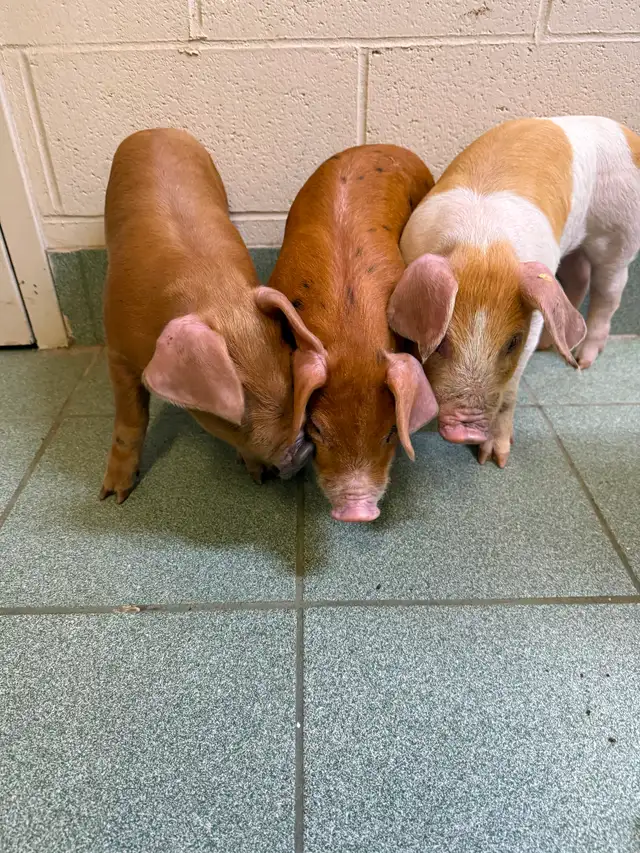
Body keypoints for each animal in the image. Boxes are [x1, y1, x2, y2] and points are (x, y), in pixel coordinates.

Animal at [101, 128, 321, 502]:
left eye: (290, 378)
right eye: (234, 415)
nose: (303, 451)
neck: (210, 290)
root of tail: (155, 129)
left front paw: (257, 476)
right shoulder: (116, 351)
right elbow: (129, 421)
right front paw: (113, 497)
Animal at [389, 116, 640, 468]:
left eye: (512, 342)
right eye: (443, 343)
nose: (465, 432)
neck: (482, 245)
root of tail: (629, 135)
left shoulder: (531, 322)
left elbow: (510, 389)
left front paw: (494, 461)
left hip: (620, 234)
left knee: (608, 292)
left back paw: (582, 362)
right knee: (577, 276)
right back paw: (554, 347)